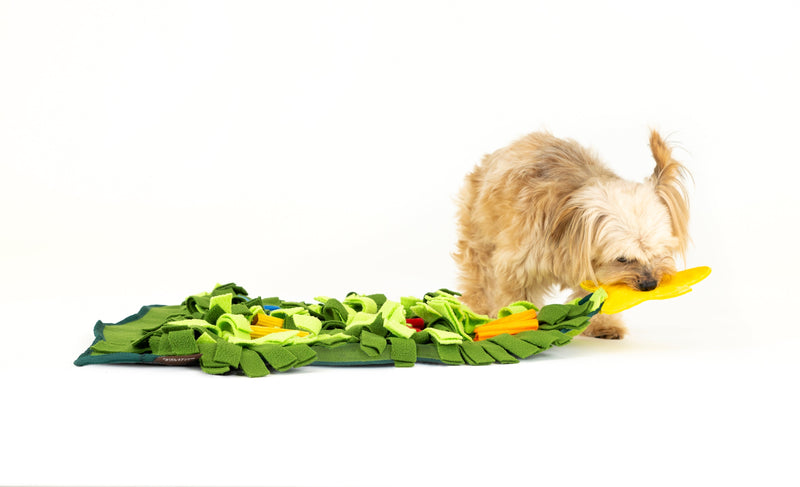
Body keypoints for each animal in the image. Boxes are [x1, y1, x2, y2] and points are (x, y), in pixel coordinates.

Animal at [454, 132, 692, 342]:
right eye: (622, 258)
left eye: (659, 252)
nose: (650, 284)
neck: (568, 234)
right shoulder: (518, 267)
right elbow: (518, 299)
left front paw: (604, 325)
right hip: (479, 236)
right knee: (478, 277)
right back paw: (479, 310)